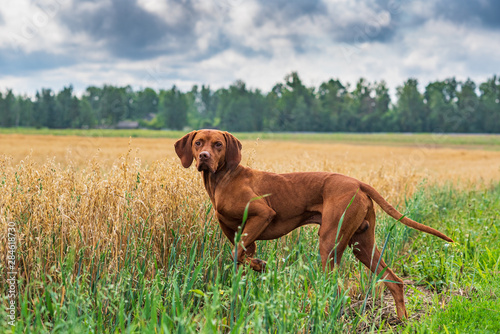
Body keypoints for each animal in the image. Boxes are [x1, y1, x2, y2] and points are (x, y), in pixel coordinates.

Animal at [176, 130, 454, 318]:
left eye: (219, 144)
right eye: (198, 142)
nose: (203, 156)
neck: (223, 178)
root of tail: (358, 183)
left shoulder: (262, 214)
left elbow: (237, 254)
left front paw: (261, 265)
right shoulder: (241, 233)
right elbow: (241, 256)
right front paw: (256, 268)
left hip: (330, 242)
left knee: (335, 285)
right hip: (362, 245)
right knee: (393, 280)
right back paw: (403, 322)